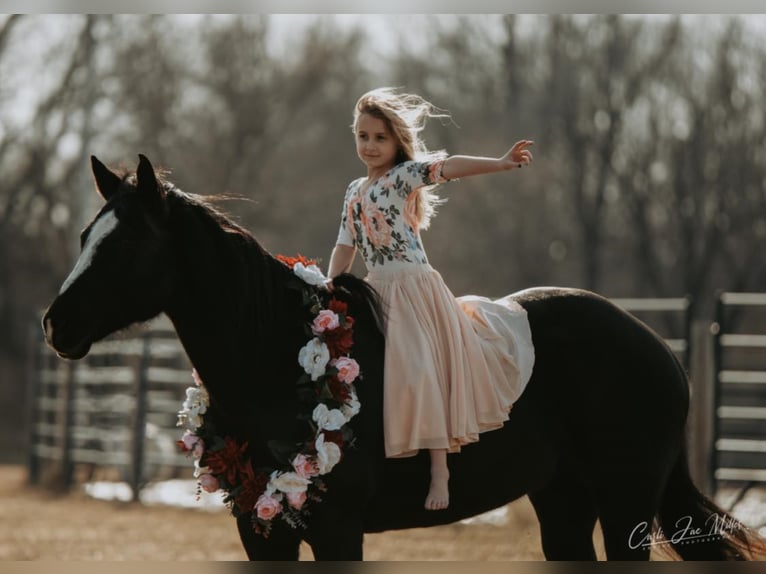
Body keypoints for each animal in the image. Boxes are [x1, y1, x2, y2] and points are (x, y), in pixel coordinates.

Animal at [43, 155, 766, 560]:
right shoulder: (263, 531)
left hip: (624, 510)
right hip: (564, 504)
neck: (277, 364)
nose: (55, 324)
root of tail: (658, 348)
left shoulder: (337, 532)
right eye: (83, 236)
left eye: (126, 241)